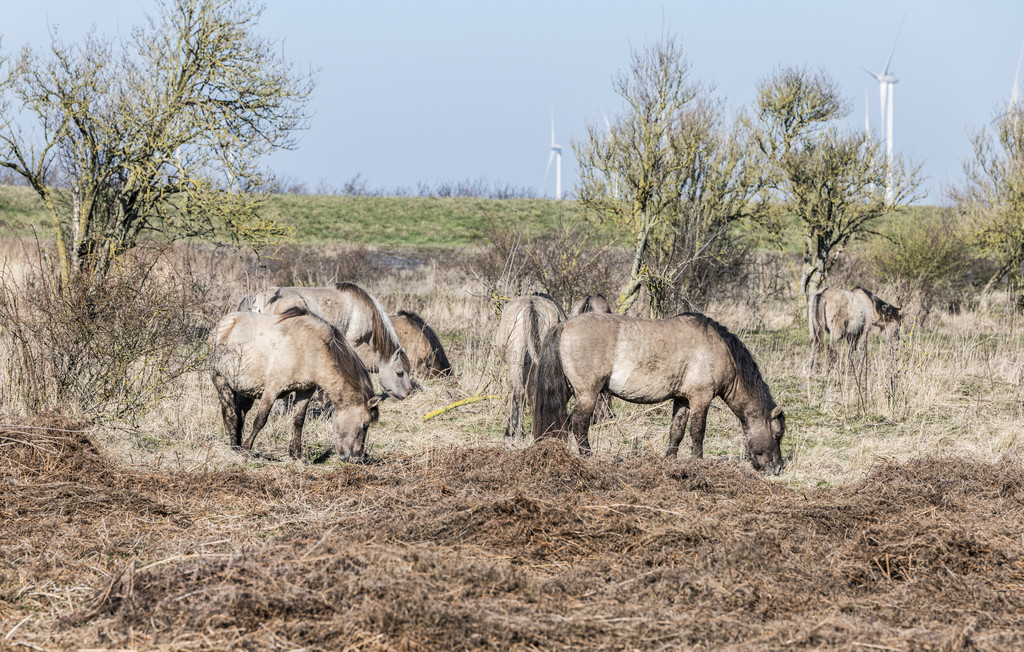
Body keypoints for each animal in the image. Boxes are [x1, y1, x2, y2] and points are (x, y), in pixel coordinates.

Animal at [207, 307, 380, 460]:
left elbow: (298, 421)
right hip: (221, 380)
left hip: (245, 391)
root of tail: (222, 324)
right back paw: (235, 446)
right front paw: (246, 448)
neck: (309, 349)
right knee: (230, 413)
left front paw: (297, 455)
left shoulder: (305, 391)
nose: (356, 457)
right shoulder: (272, 389)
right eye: (365, 425)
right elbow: (260, 420)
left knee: (240, 414)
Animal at [532, 311, 786, 472]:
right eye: (778, 435)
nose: (777, 468)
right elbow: (697, 432)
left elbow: (677, 431)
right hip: (587, 394)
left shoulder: (682, 400)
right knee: (579, 424)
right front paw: (698, 462)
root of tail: (564, 325)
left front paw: (670, 460)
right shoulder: (700, 398)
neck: (719, 348)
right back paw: (588, 457)